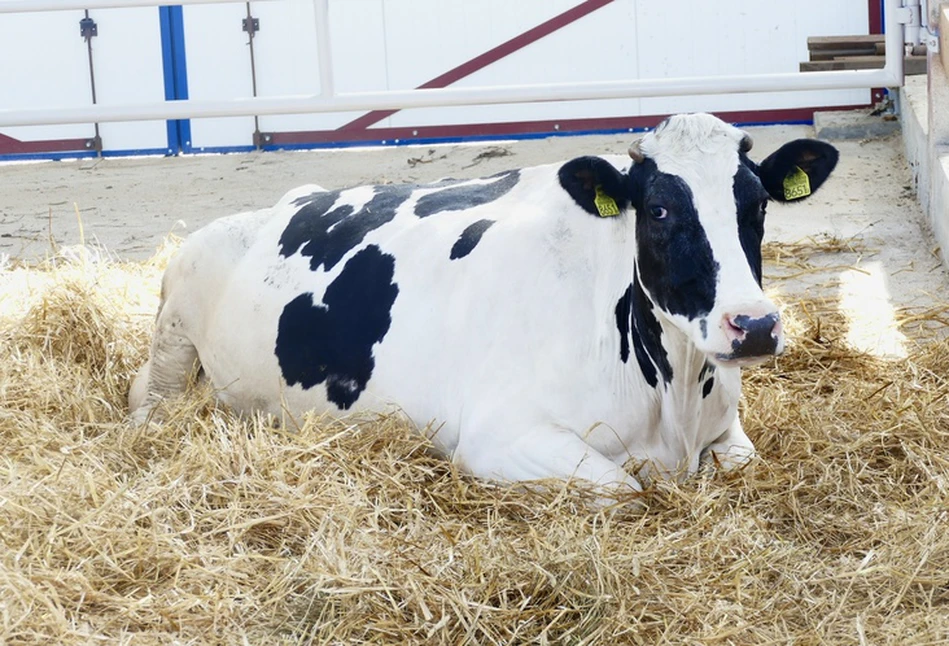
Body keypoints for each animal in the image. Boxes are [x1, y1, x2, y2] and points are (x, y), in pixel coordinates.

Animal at [128, 112, 836, 496]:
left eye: (758, 203)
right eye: (659, 209)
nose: (755, 326)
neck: (675, 401)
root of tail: (275, 204)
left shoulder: (726, 433)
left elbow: (739, 461)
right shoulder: (502, 435)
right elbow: (625, 488)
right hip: (175, 320)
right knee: (148, 395)